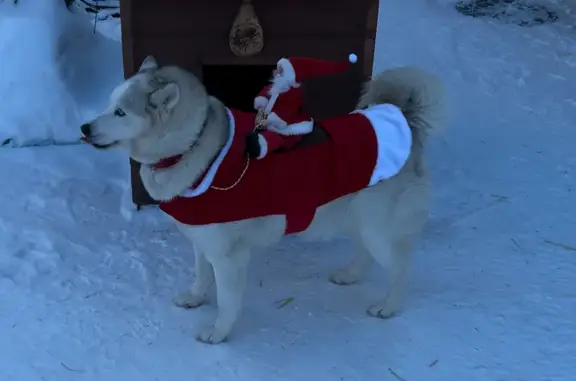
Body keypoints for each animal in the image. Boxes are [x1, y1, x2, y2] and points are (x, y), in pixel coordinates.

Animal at [80, 56, 446, 344]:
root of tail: (404, 119)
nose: (84, 127)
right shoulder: (202, 241)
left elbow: (227, 302)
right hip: (359, 220)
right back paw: (350, 275)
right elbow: (201, 276)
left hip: (379, 230)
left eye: (120, 112)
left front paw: (218, 333)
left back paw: (389, 305)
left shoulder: (229, 257)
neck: (194, 148)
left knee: (400, 269)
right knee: (365, 255)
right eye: (109, 105)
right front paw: (196, 298)